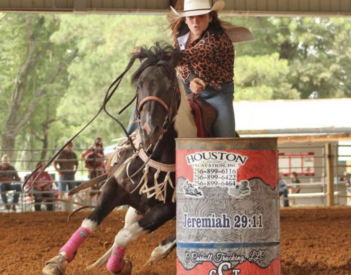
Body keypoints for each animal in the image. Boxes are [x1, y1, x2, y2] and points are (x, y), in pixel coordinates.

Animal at [42, 42, 198, 274]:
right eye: (139, 86)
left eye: (170, 87)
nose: (149, 129)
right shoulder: (115, 186)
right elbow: (90, 223)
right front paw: (58, 260)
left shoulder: (165, 210)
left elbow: (123, 236)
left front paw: (119, 265)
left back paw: (158, 252)